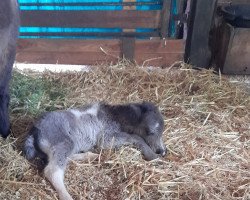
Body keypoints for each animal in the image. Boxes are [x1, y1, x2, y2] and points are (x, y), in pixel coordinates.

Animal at [23, 102, 166, 200]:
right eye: (149, 131)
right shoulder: (106, 138)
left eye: (162, 131)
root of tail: (34, 130)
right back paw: (67, 196)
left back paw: (90, 156)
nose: (162, 151)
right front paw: (152, 155)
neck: (115, 116)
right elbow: (135, 137)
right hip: (62, 142)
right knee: (52, 171)